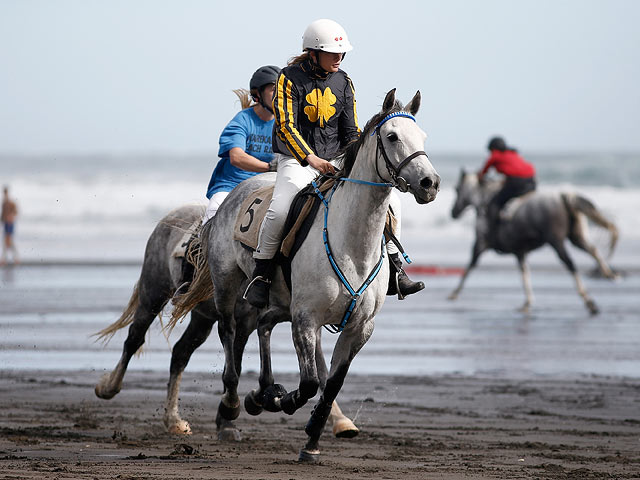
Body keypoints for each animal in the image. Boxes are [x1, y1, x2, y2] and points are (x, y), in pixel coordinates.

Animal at [93, 202, 358, 438]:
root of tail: (172, 215)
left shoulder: (309, 321)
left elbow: (322, 371)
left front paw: (340, 421)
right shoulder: (245, 321)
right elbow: (235, 367)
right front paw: (229, 417)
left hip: (201, 318)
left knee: (180, 353)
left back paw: (173, 419)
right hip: (153, 293)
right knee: (134, 339)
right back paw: (109, 387)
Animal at [448, 170, 616, 316]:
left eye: (457, 189)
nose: (453, 212)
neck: (483, 201)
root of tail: (562, 196)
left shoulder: (480, 244)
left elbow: (469, 267)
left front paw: (454, 293)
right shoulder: (519, 251)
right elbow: (525, 274)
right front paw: (527, 302)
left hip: (556, 241)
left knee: (570, 264)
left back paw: (588, 300)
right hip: (576, 236)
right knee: (593, 250)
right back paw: (608, 274)